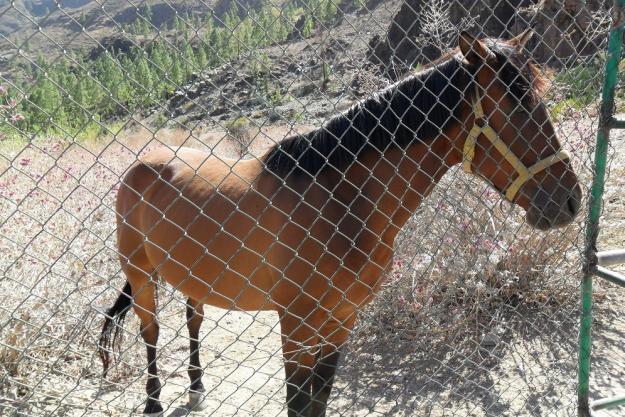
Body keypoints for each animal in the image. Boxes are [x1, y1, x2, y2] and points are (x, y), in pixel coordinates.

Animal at [97, 30, 580, 414]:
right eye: (516, 108)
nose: (569, 200)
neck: (340, 203)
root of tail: (145, 164)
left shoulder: (341, 322)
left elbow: (320, 400)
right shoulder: (296, 328)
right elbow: (298, 403)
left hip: (191, 275)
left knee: (193, 320)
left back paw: (197, 389)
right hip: (140, 273)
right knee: (151, 331)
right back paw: (154, 401)